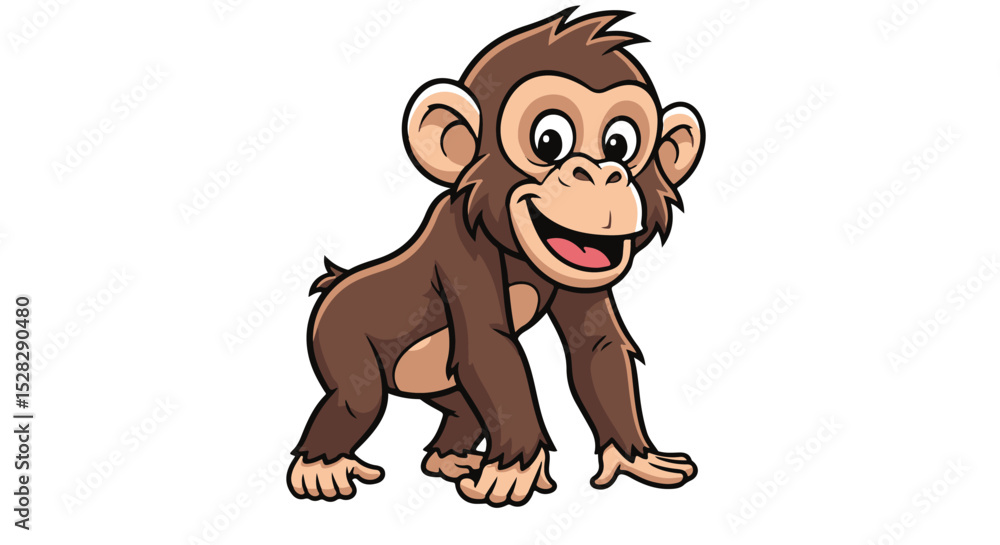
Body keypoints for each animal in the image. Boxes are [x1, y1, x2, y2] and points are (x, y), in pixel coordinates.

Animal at [287, 8, 705, 507]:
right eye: (549, 140)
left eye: (619, 144)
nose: (603, 174)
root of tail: (337, 281)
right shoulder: (458, 246)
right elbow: (491, 349)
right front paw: (515, 472)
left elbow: (595, 345)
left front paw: (634, 458)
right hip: (337, 334)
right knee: (357, 399)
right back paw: (320, 468)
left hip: (440, 386)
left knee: (464, 410)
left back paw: (448, 459)